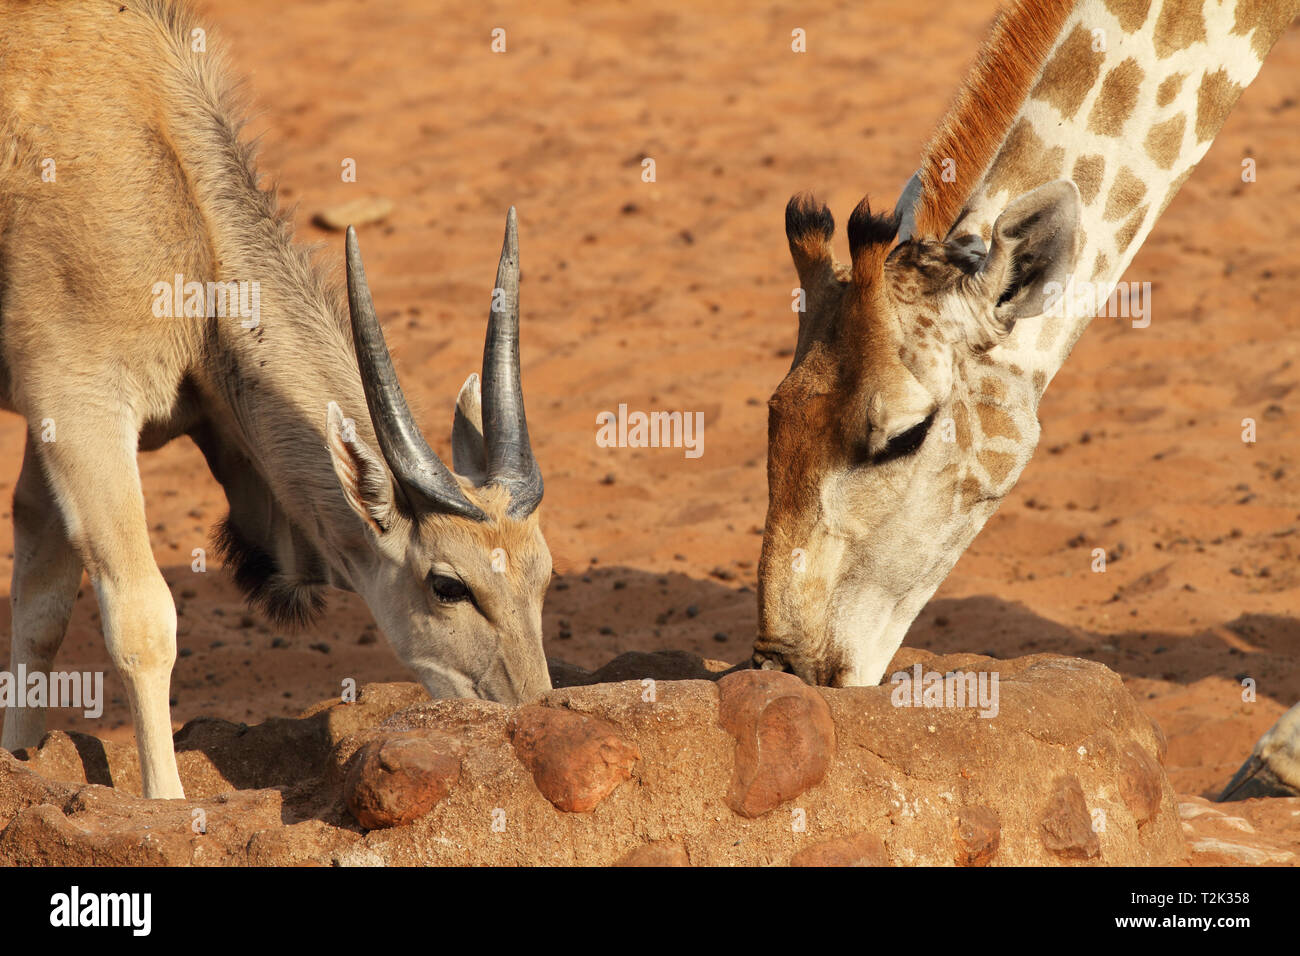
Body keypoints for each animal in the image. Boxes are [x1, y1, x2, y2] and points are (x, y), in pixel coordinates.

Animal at [0, 0, 551, 801]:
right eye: (447, 585)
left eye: (545, 575)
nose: (529, 710)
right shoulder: (81, 407)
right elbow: (141, 619)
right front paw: (167, 805)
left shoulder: (51, 432)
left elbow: (41, 604)